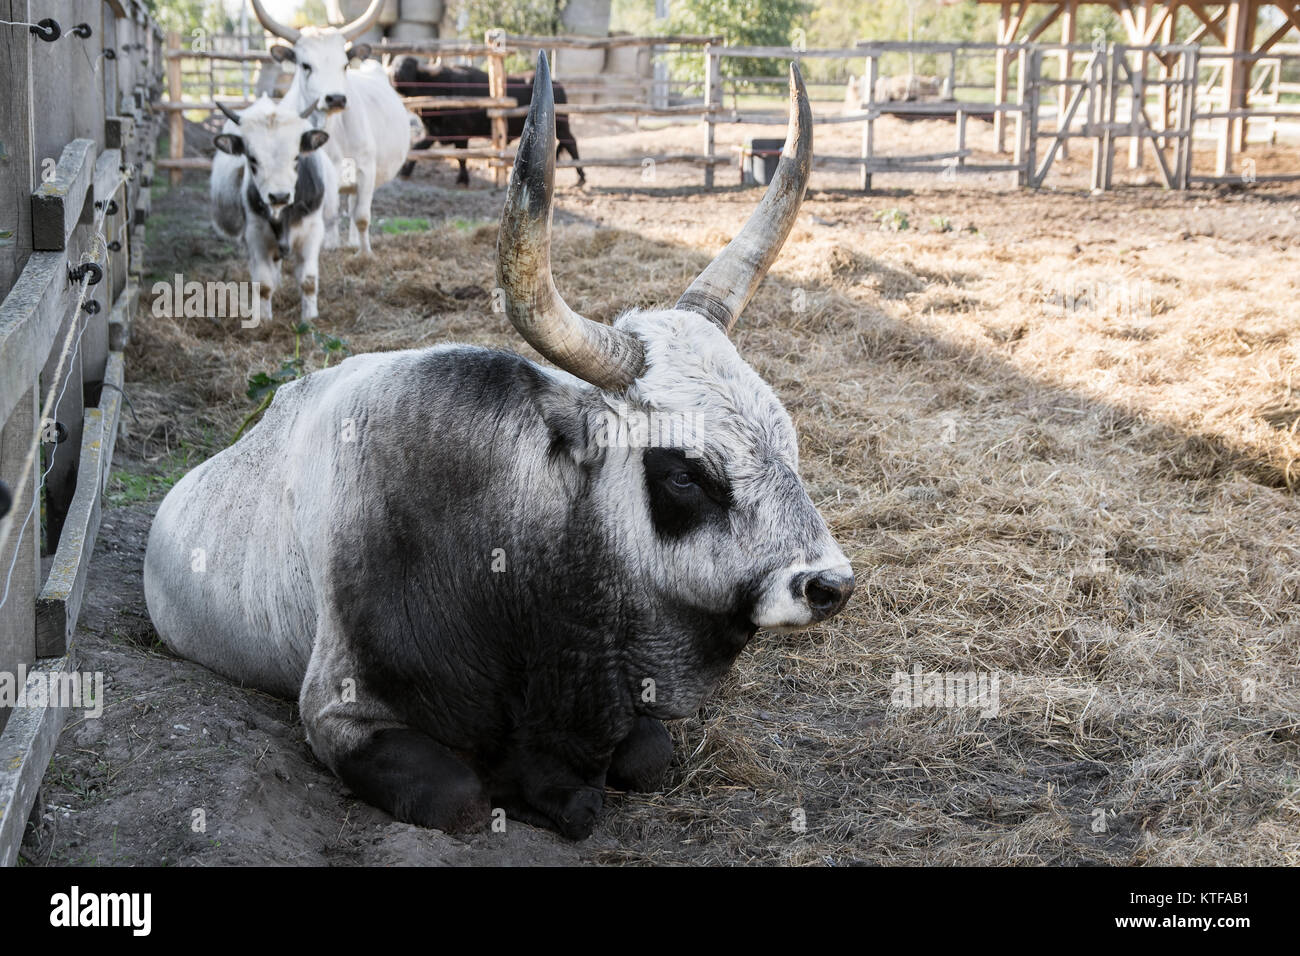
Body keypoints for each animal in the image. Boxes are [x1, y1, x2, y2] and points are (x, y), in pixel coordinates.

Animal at [210, 96, 336, 322]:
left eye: (297, 157)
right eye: (252, 159)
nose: (279, 196)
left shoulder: (312, 231)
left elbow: (308, 281)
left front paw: (310, 318)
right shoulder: (255, 236)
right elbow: (263, 285)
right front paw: (264, 320)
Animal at [251, 0, 410, 256]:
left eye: (344, 65)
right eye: (306, 65)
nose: (335, 98)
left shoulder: (365, 169)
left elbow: (361, 216)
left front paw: (365, 255)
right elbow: (324, 216)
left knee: (355, 207)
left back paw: (355, 243)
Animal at [392, 57, 585, 187]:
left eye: (408, 65)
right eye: (393, 62)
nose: (394, 72)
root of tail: (558, 84)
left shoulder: (461, 135)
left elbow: (461, 158)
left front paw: (463, 179)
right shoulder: (435, 132)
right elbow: (418, 148)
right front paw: (405, 171)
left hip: (562, 125)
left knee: (571, 143)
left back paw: (581, 176)